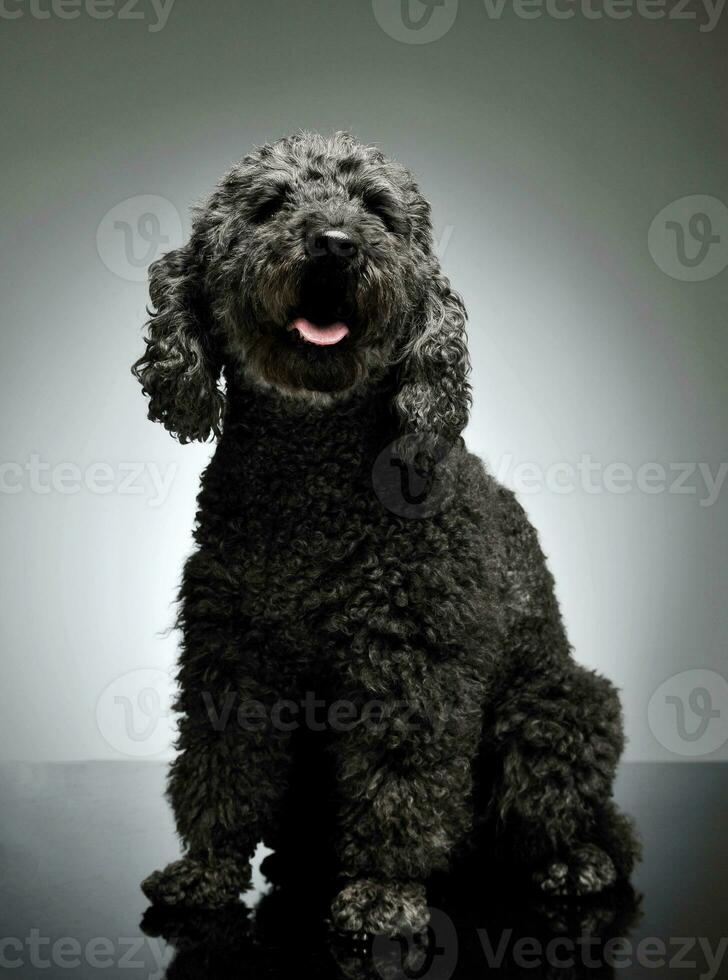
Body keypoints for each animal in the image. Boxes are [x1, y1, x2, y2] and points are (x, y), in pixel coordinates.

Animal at [135, 130, 636, 936]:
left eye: (378, 210)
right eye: (270, 205)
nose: (335, 243)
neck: (311, 482)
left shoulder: (413, 663)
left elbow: (400, 782)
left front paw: (382, 889)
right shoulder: (231, 654)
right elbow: (223, 763)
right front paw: (208, 868)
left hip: (556, 708)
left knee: (585, 821)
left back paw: (573, 860)